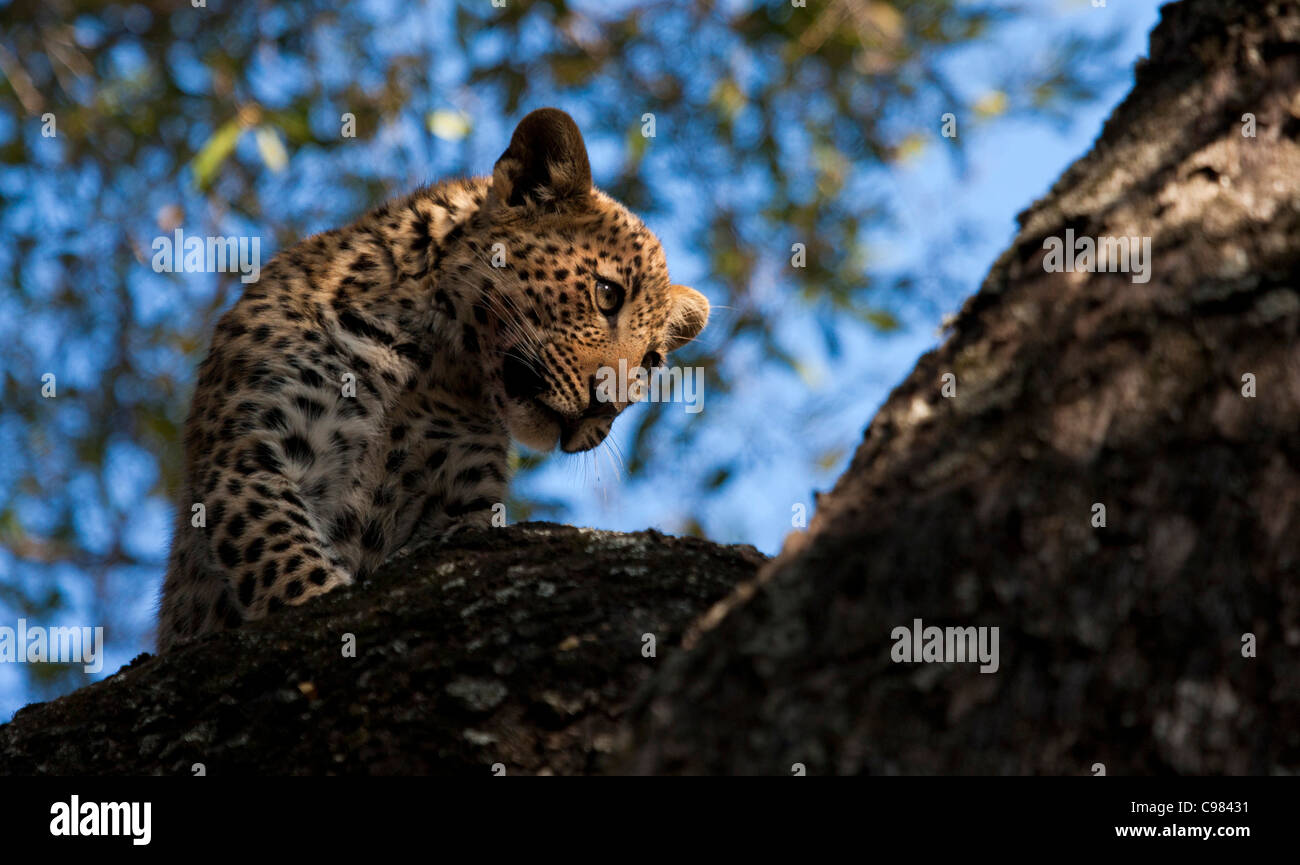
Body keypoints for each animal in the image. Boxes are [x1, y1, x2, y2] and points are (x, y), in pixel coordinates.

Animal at [156, 108, 709, 651]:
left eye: (651, 362)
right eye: (607, 294)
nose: (603, 408)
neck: (433, 363)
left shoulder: (462, 499)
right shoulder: (251, 450)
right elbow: (282, 563)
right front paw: (316, 601)